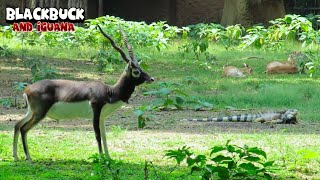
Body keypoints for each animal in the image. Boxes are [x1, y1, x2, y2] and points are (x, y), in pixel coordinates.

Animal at [13, 24, 156, 161]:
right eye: (136, 71)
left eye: (142, 68)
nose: (151, 79)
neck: (110, 92)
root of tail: (27, 89)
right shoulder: (95, 113)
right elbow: (98, 135)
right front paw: (100, 158)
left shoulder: (102, 117)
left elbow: (104, 136)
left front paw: (109, 157)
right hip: (39, 113)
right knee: (24, 128)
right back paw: (28, 157)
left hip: (31, 112)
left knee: (17, 125)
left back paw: (15, 157)